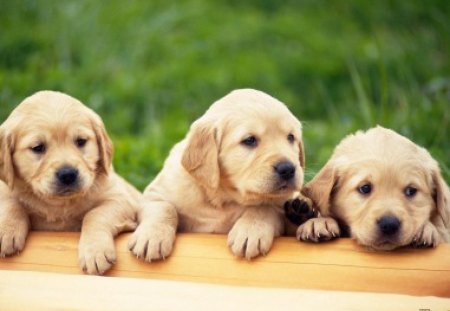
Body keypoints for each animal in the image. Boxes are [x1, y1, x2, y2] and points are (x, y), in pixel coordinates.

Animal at [0, 91, 141, 276]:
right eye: (38, 147)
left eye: (81, 141)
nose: (68, 175)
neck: (60, 204)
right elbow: (10, 203)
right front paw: (6, 230)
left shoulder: (122, 199)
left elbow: (94, 214)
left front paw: (95, 252)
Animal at [128, 89, 308, 260]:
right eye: (249, 140)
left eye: (291, 137)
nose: (288, 169)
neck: (224, 197)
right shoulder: (155, 193)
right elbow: (164, 207)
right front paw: (151, 238)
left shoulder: (280, 202)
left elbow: (265, 207)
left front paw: (250, 232)